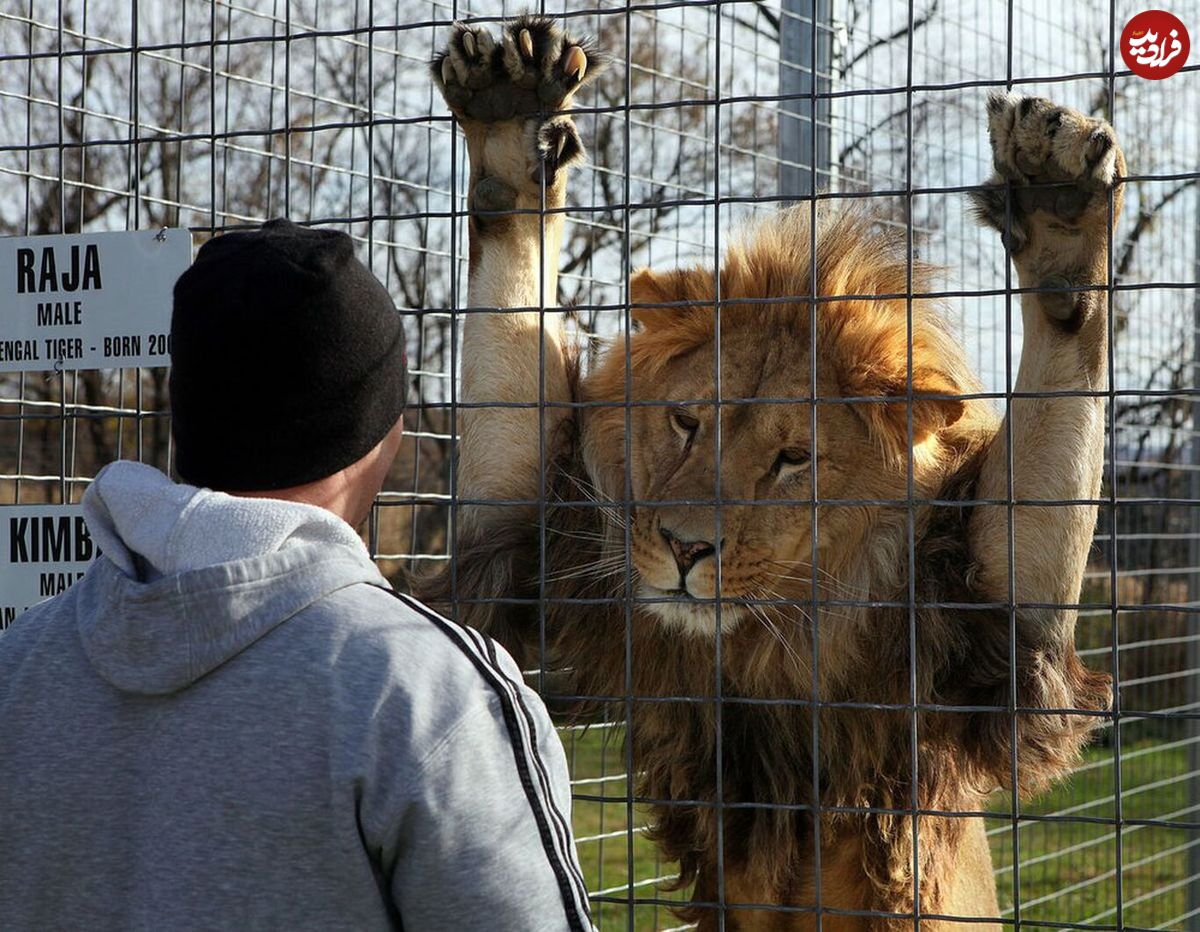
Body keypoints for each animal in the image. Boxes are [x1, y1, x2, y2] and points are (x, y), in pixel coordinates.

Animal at [422, 16, 1113, 930]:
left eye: (793, 459)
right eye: (686, 423)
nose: (686, 551)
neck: (765, 644)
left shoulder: (989, 625)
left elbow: (1060, 385)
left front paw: (1062, 220)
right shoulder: (529, 530)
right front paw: (510, 122)